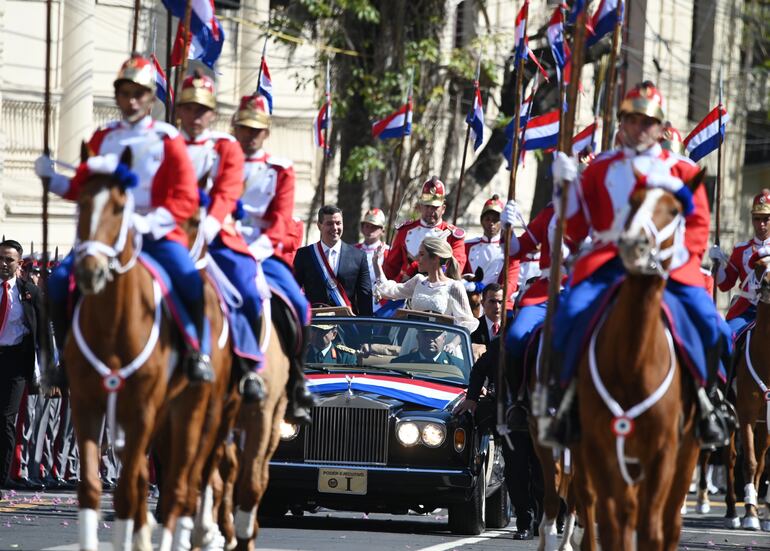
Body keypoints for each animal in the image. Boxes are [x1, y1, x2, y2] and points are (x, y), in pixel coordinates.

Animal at [65, 148, 224, 551]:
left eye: (120, 207)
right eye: (80, 203)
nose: (89, 271)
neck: (114, 324)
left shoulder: (142, 411)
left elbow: (128, 491)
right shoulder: (87, 404)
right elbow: (95, 487)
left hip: (195, 411)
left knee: (185, 482)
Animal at [568, 187, 704, 551]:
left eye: (675, 210)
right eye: (632, 201)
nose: (634, 244)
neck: (634, 360)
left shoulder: (662, 453)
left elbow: (651, 529)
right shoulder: (599, 450)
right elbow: (611, 523)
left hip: (685, 456)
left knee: (668, 523)